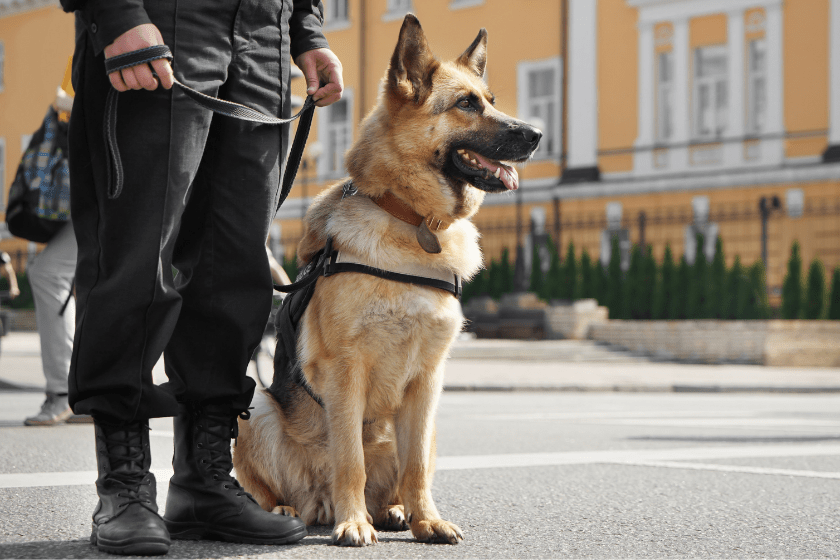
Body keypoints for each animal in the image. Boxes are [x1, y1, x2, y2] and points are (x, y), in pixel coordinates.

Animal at [233, 13, 540, 548]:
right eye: (466, 104)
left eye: (490, 100)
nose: (539, 134)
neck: (412, 220)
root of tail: (316, 503)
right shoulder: (346, 372)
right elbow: (349, 458)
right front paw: (353, 522)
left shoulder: (427, 382)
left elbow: (415, 467)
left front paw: (426, 519)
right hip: (254, 409)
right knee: (271, 486)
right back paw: (292, 510)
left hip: (432, 426)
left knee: (402, 474)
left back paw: (394, 511)